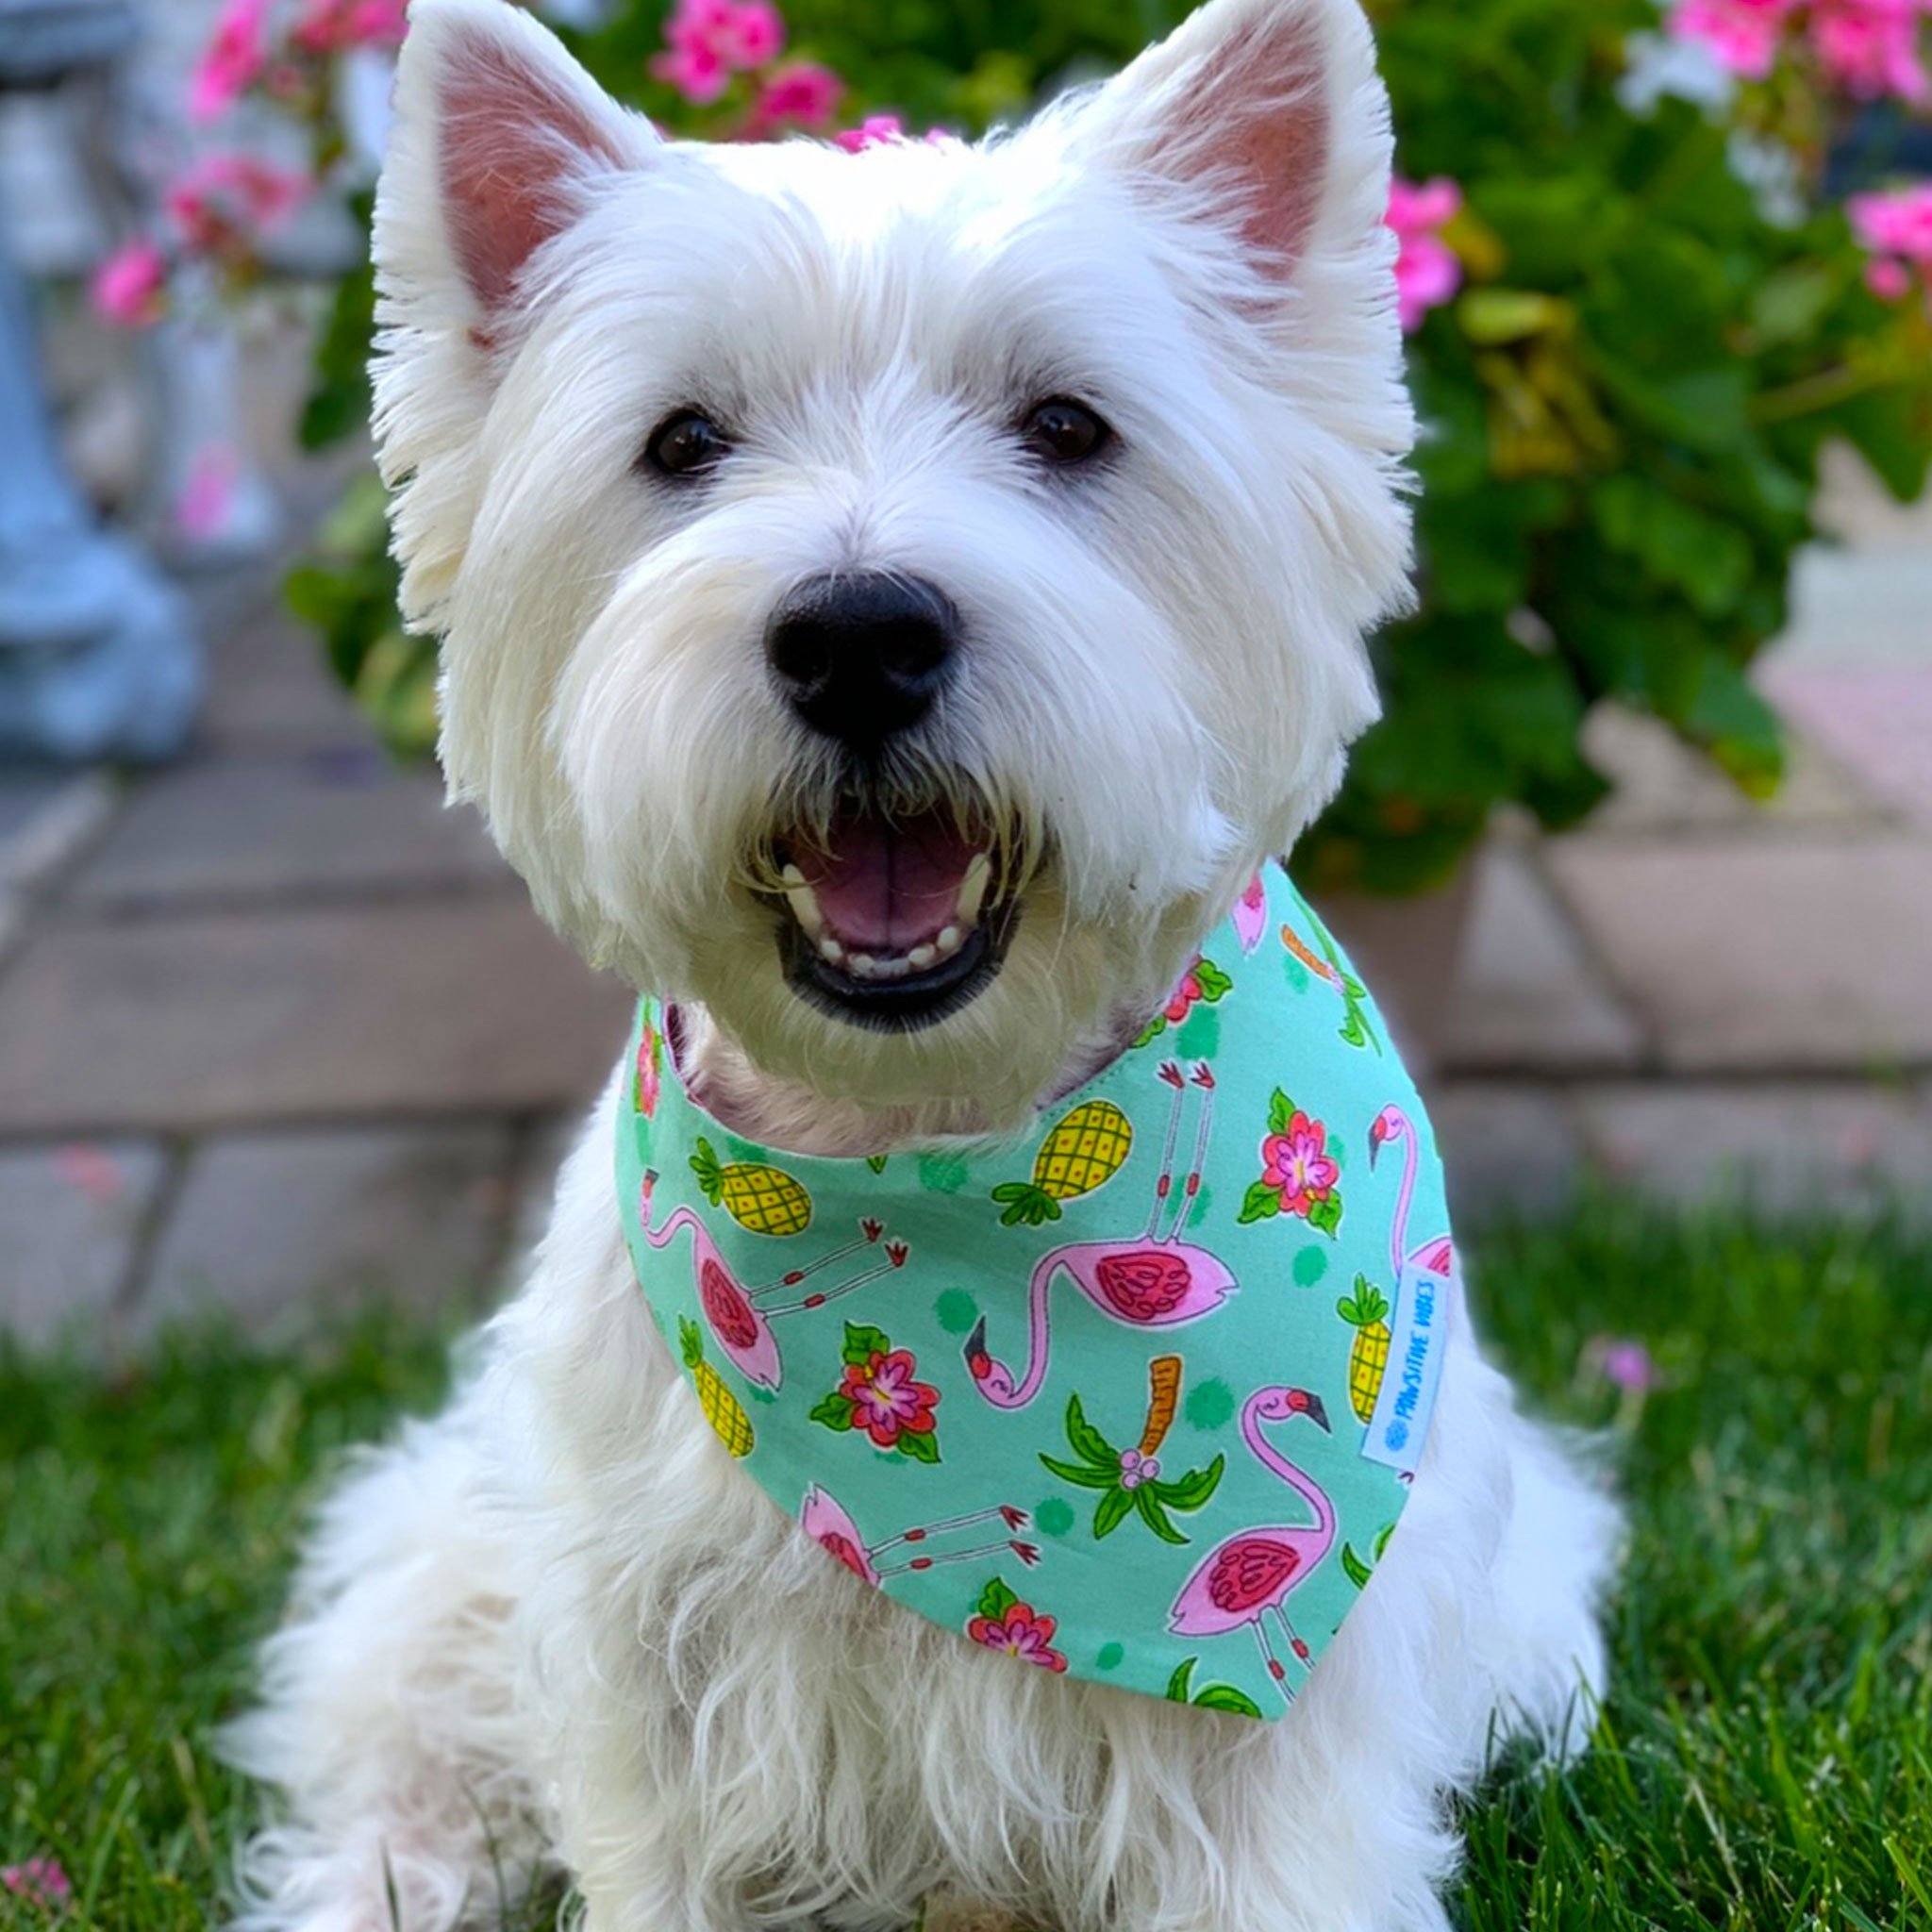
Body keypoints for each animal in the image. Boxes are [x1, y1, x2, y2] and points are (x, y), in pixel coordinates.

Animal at [222, 0, 1615, 1924]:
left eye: (1067, 425)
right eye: (681, 441)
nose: (860, 635)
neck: (929, 1148)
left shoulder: (1282, 1737)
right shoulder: (645, 1665)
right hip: (444, 1556)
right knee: (390, 1730)